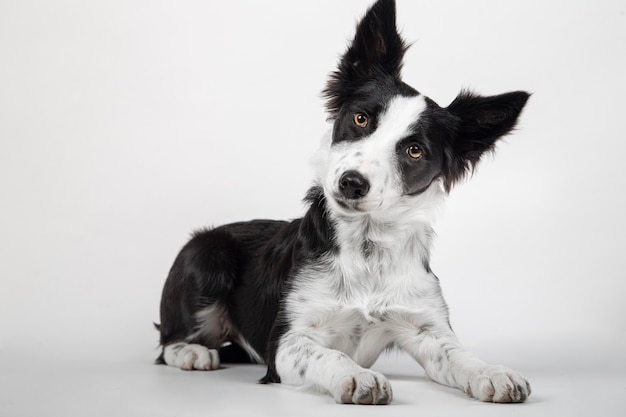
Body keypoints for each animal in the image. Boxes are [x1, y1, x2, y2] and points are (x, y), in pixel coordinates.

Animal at [154, 0, 528, 404]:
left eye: (414, 151)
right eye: (361, 118)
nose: (352, 183)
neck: (367, 249)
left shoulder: (426, 326)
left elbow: (459, 355)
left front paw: (492, 372)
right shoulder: (286, 341)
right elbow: (328, 354)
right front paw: (357, 376)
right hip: (207, 256)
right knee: (167, 343)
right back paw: (191, 352)